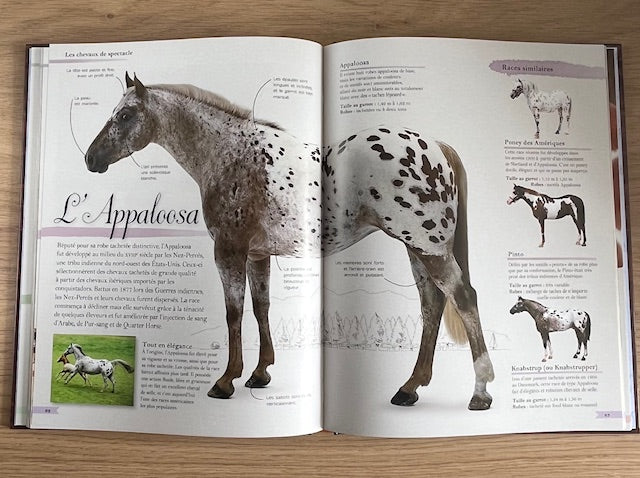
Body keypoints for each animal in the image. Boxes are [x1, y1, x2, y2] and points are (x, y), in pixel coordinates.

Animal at [84, 73, 494, 410]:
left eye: (125, 115)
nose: (90, 159)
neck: (232, 155)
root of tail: (436, 146)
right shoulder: (256, 255)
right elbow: (261, 308)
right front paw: (260, 373)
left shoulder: (228, 251)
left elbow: (234, 313)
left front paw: (226, 380)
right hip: (417, 248)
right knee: (432, 306)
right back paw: (409, 388)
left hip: (429, 247)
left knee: (464, 298)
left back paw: (480, 392)